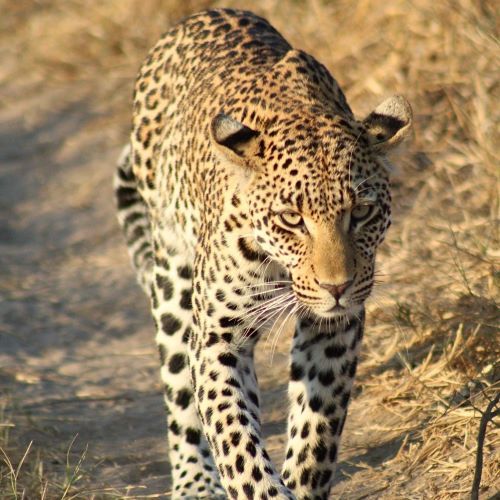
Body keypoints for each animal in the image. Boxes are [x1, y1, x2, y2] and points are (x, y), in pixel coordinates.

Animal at [115, 7, 412, 500]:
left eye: (362, 212)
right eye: (291, 218)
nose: (337, 286)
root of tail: (204, 13)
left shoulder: (337, 327)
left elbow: (317, 425)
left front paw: (302, 481)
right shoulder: (217, 337)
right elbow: (237, 442)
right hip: (173, 273)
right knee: (178, 385)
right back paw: (195, 481)